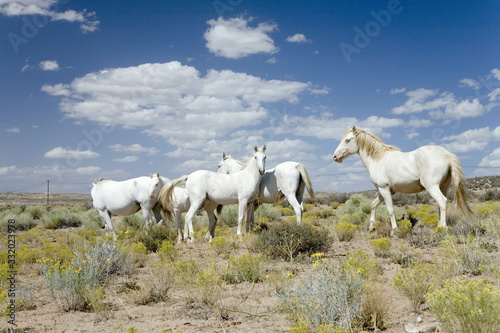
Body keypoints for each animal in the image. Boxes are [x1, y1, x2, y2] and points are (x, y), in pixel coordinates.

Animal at [334, 126, 470, 232]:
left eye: (347, 140)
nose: (335, 157)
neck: (378, 159)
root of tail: (446, 154)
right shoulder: (383, 191)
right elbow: (373, 205)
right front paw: (371, 227)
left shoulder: (384, 189)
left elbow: (390, 209)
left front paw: (394, 230)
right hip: (443, 187)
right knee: (441, 205)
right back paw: (439, 225)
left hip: (432, 186)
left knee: (442, 201)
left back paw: (442, 227)